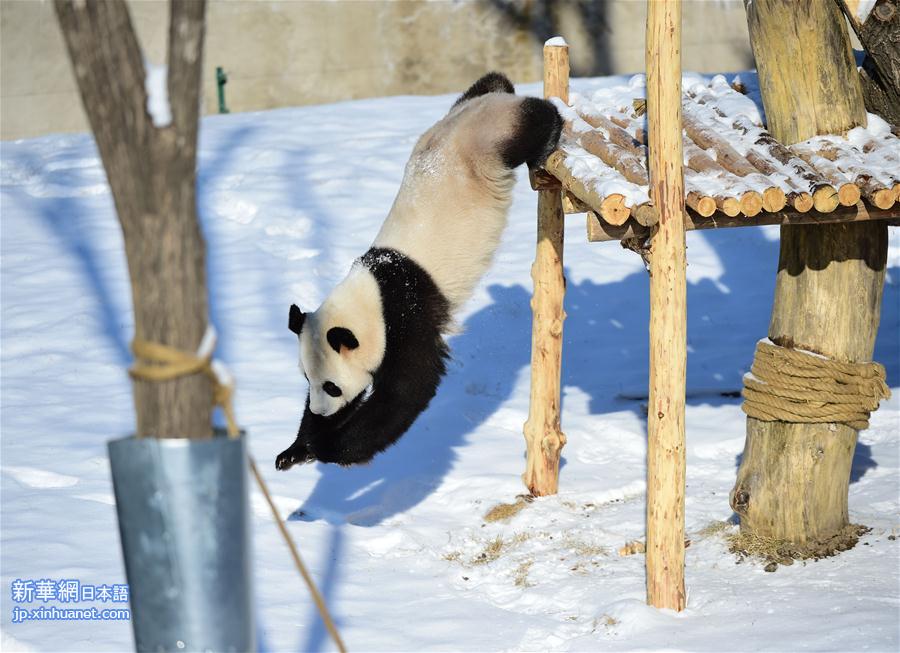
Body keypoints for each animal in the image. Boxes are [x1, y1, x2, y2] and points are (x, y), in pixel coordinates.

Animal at [276, 72, 564, 468]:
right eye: (307, 378)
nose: (322, 411)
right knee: (491, 82)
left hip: (493, 138)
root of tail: (486, 107)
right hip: (471, 109)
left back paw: (550, 129)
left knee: (533, 121)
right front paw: (296, 448)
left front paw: (329, 447)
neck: (372, 287)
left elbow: (408, 388)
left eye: (331, 386)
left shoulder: (405, 315)